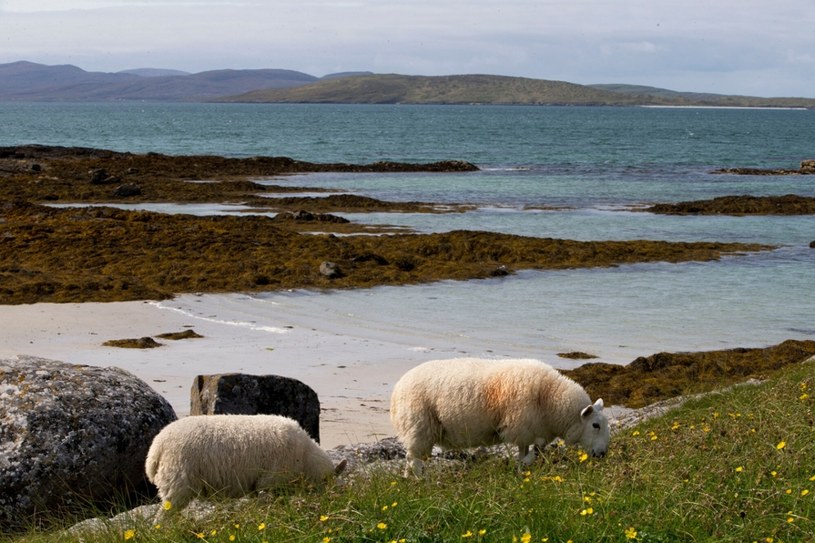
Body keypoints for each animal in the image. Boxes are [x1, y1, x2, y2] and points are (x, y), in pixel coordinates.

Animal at [145, 414, 346, 512]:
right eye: (327, 484)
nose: (329, 503)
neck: (305, 458)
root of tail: (156, 448)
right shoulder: (269, 481)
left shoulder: (260, 486)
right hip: (178, 483)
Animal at [392, 356, 608, 476]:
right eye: (595, 425)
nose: (603, 453)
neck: (551, 397)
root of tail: (398, 388)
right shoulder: (520, 426)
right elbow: (534, 449)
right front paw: (523, 465)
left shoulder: (529, 430)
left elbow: (531, 450)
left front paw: (523, 467)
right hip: (419, 426)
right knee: (415, 460)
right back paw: (423, 482)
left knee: (411, 459)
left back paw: (409, 480)